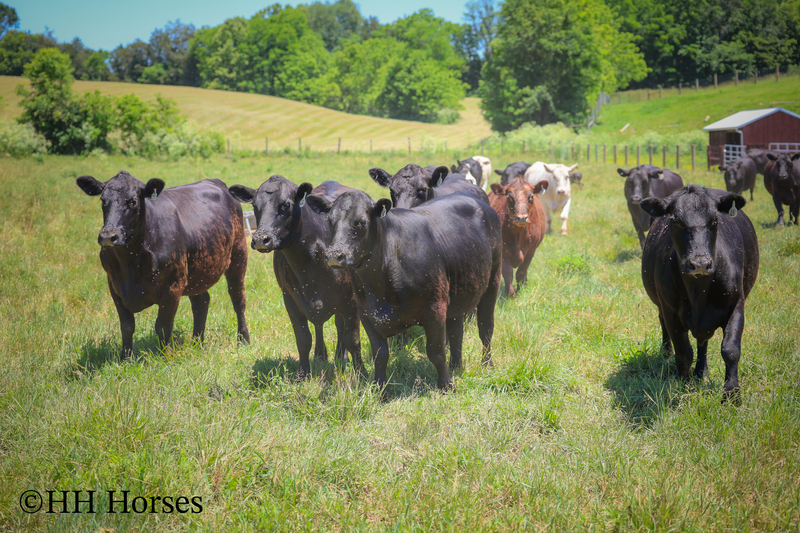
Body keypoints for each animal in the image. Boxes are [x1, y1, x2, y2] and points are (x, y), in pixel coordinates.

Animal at [76, 171, 250, 357]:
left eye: (132, 201)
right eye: (103, 200)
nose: (108, 236)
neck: (130, 263)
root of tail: (216, 182)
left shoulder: (172, 286)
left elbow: (163, 326)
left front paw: (166, 356)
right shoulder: (114, 286)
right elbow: (127, 326)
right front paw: (126, 357)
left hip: (238, 256)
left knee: (238, 299)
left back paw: (243, 340)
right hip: (196, 270)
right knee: (201, 302)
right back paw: (197, 343)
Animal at [228, 176, 363, 378]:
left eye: (285, 204)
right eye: (254, 205)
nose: (261, 239)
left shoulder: (351, 301)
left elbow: (352, 339)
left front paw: (361, 374)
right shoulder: (290, 299)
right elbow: (303, 338)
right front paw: (303, 373)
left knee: (339, 325)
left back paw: (341, 355)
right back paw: (321, 354)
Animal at [306, 190, 502, 391]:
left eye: (361, 222)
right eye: (330, 221)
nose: (334, 256)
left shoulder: (434, 309)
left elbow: (437, 352)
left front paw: (446, 386)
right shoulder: (366, 314)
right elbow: (380, 355)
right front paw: (380, 389)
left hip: (493, 281)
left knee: (486, 328)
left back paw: (487, 364)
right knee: (457, 332)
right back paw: (456, 365)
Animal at [640, 185, 758, 395]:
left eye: (715, 220)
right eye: (676, 220)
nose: (700, 263)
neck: (698, 292)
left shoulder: (737, 304)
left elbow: (730, 350)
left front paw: (731, 393)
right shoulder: (670, 310)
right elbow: (683, 353)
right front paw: (684, 388)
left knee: (703, 343)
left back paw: (701, 372)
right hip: (661, 306)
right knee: (664, 325)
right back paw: (667, 353)